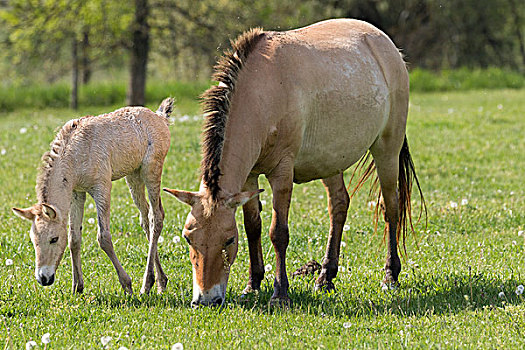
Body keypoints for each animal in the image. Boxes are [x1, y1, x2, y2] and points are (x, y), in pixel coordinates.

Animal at [12, 98, 173, 296]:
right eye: (33, 240)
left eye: (54, 239)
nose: (43, 278)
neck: (76, 154)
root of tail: (160, 118)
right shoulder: (77, 193)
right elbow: (74, 238)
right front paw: (77, 287)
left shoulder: (101, 188)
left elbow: (103, 238)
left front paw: (126, 284)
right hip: (133, 176)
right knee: (146, 219)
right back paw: (159, 282)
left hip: (151, 171)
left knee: (156, 217)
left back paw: (146, 283)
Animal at [166, 19, 424, 306]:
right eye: (189, 238)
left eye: (229, 240)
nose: (205, 300)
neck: (262, 91)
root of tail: (386, 44)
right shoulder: (249, 178)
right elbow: (253, 227)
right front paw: (253, 285)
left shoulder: (282, 174)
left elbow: (278, 233)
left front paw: (280, 294)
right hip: (329, 160)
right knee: (339, 206)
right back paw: (325, 277)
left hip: (387, 149)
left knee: (391, 207)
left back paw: (390, 276)